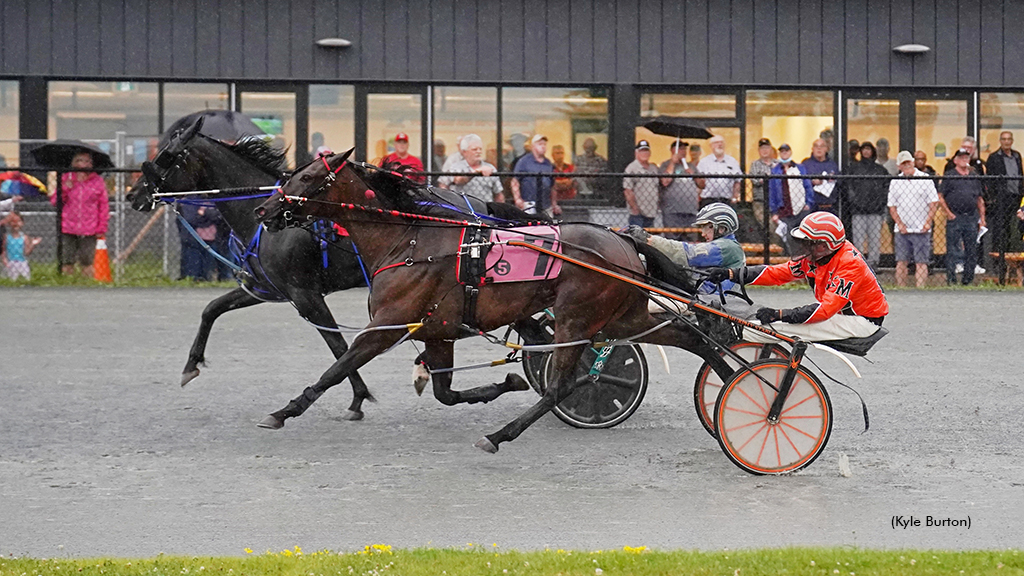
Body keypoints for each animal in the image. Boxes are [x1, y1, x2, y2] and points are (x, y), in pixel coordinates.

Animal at [130, 119, 378, 416]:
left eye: (166, 156)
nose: (133, 195)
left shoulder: (305, 295)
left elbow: (339, 346)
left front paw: (358, 395)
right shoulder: (263, 287)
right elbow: (212, 308)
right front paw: (191, 365)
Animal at [253, 148, 737, 453]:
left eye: (307, 178)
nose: (264, 210)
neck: (410, 239)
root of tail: (623, 241)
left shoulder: (387, 326)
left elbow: (336, 369)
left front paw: (283, 411)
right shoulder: (438, 332)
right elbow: (446, 393)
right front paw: (505, 382)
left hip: (577, 318)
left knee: (564, 384)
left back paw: (500, 435)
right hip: (621, 318)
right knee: (691, 338)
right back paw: (731, 380)